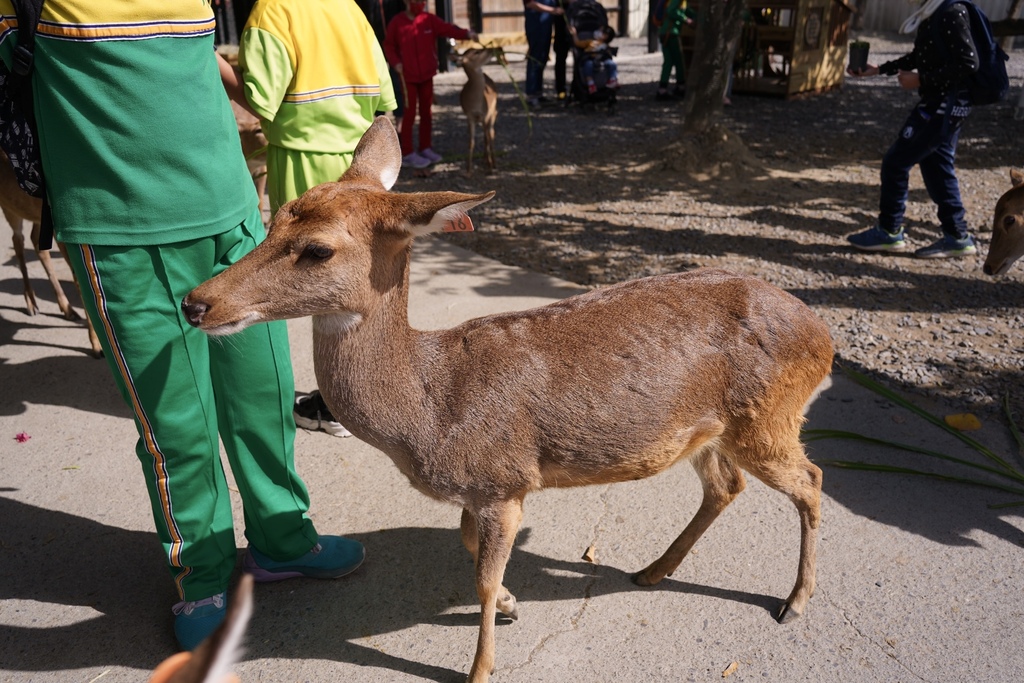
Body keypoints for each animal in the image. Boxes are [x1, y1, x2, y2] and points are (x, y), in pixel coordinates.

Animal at [2, 148, 102, 356]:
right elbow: (82, 281)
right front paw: (97, 346)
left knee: (34, 240)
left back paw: (67, 308)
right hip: (10, 207)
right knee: (17, 241)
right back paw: (31, 302)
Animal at [184, 117, 835, 683]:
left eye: (317, 249)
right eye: (271, 222)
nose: (195, 302)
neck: (431, 407)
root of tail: (824, 338)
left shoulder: (505, 478)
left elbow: (478, 574)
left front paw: (479, 668)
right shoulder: (486, 489)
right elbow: (469, 545)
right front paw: (513, 603)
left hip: (770, 418)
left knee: (811, 478)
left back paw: (795, 601)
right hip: (707, 429)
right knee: (726, 484)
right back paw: (653, 571)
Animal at [460, 46, 499, 174]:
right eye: (476, 52)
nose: (491, 49)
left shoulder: (486, 114)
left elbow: (487, 137)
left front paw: (490, 166)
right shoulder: (469, 116)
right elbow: (471, 142)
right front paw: (468, 170)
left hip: (493, 111)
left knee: (491, 134)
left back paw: (493, 162)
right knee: (486, 135)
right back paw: (485, 159)